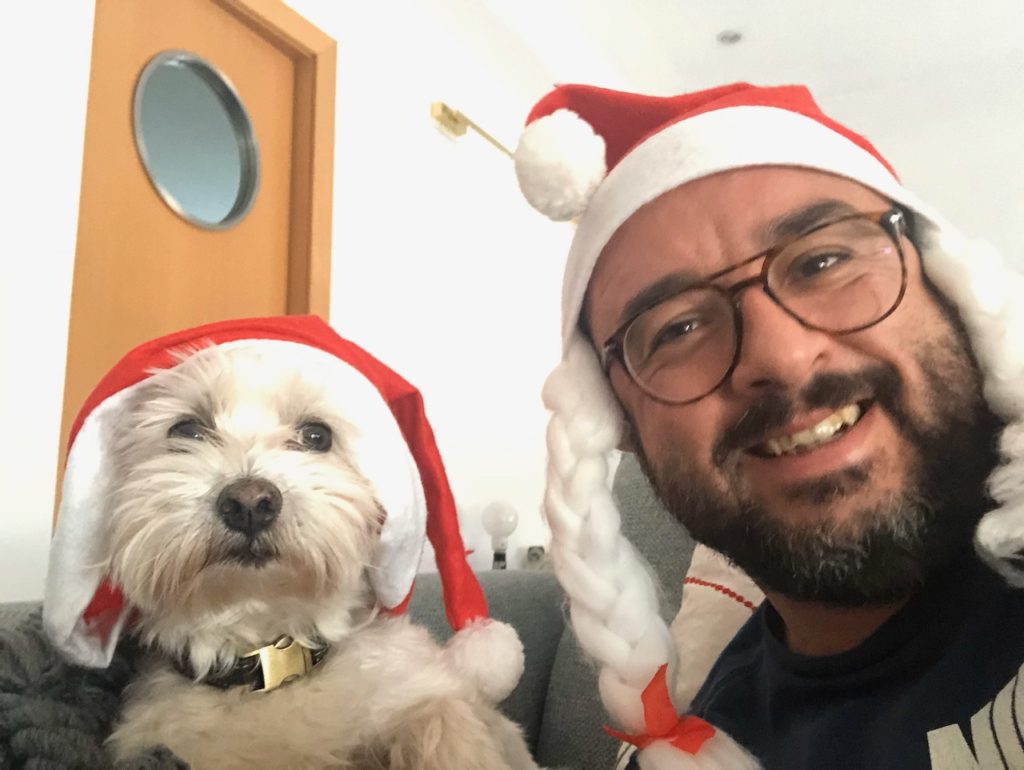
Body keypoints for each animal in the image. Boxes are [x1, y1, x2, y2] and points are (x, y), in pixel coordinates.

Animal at [95, 341, 539, 769]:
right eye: (187, 430)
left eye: (316, 436)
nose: (249, 503)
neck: (268, 654)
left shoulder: (421, 690)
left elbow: (443, 724)